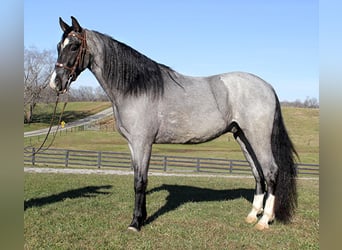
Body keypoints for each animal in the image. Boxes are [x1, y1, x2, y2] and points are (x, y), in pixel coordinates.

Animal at [49, 16, 298, 231]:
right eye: (59, 46)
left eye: (74, 46)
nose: (55, 83)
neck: (137, 88)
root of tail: (268, 87)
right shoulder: (132, 145)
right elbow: (138, 178)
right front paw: (142, 217)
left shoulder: (143, 143)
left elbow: (140, 181)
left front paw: (136, 223)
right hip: (242, 136)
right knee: (258, 174)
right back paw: (252, 215)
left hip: (258, 137)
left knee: (271, 171)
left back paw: (264, 220)